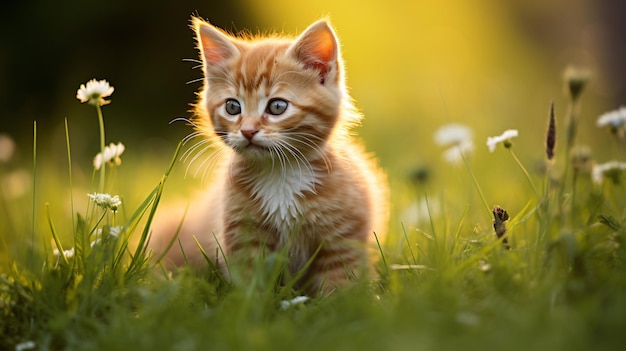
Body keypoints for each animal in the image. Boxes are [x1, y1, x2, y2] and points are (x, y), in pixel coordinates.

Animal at [150, 17, 386, 296]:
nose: (248, 130)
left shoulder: (343, 237)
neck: (280, 172)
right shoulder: (245, 235)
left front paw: (339, 304)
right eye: (233, 107)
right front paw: (251, 304)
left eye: (277, 106)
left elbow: (340, 284)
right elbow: (252, 286)